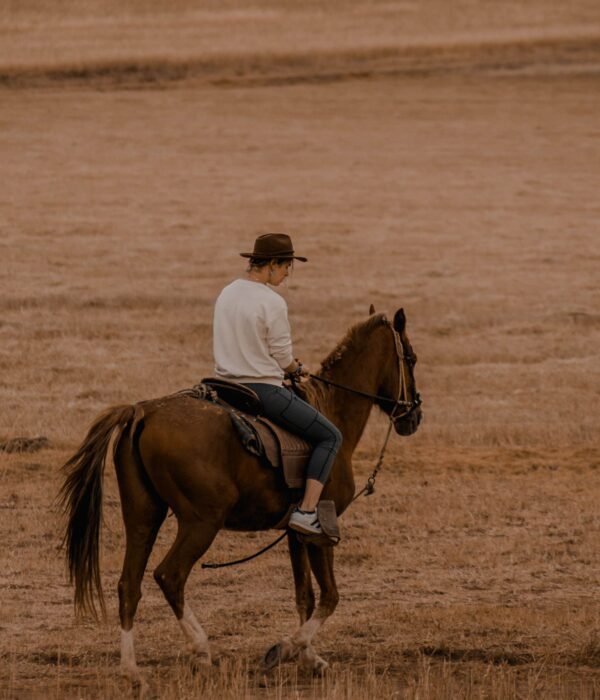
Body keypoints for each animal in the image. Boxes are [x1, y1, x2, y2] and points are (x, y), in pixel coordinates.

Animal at [58, 306, 420, 684]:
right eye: (411, 358)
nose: (414, 415)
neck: (333, 409)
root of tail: (143, 411)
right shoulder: (322, 531)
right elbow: (330, 597)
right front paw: (285, 650)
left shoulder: (295, 535)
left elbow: (304, 596)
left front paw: (308, 657)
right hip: (201, 523)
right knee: (170, 576)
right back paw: (201, 650)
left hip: (143, 518)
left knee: (129, 585)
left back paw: (132, 671)